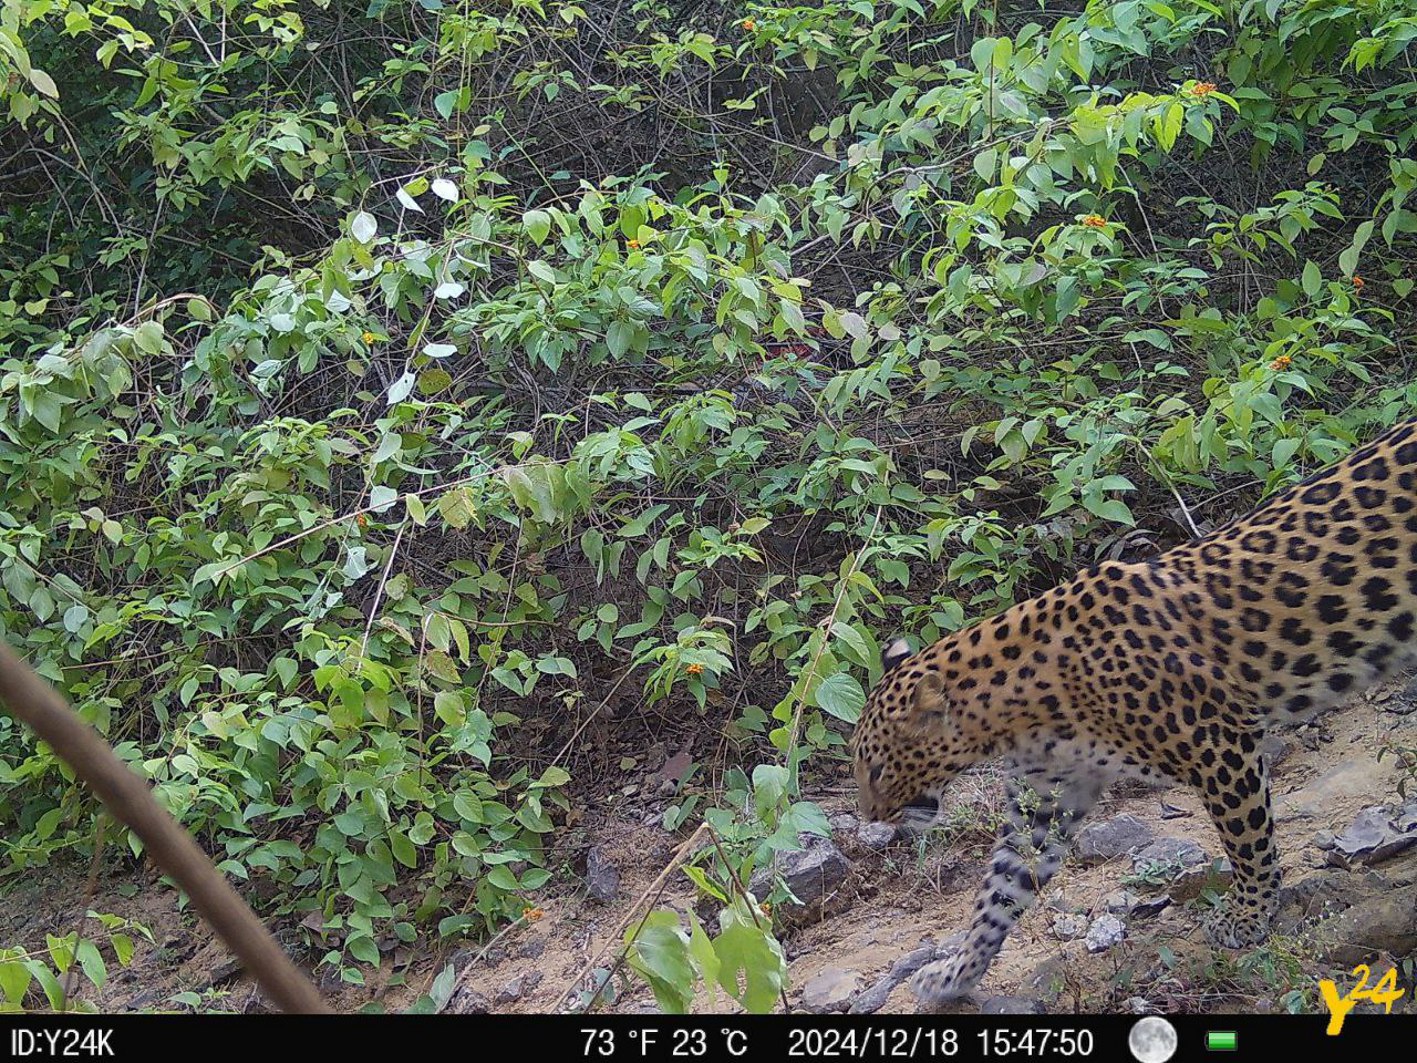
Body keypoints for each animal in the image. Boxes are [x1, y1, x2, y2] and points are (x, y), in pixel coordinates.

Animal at [844, 416, 1417, 1009]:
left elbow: (1247, 840)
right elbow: (998, 894)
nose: (870, 819)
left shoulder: (1221, 746)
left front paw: (1248, 915)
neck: (1016, 710)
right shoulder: (1046, 799)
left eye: (878, 769)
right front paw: (954, 973)